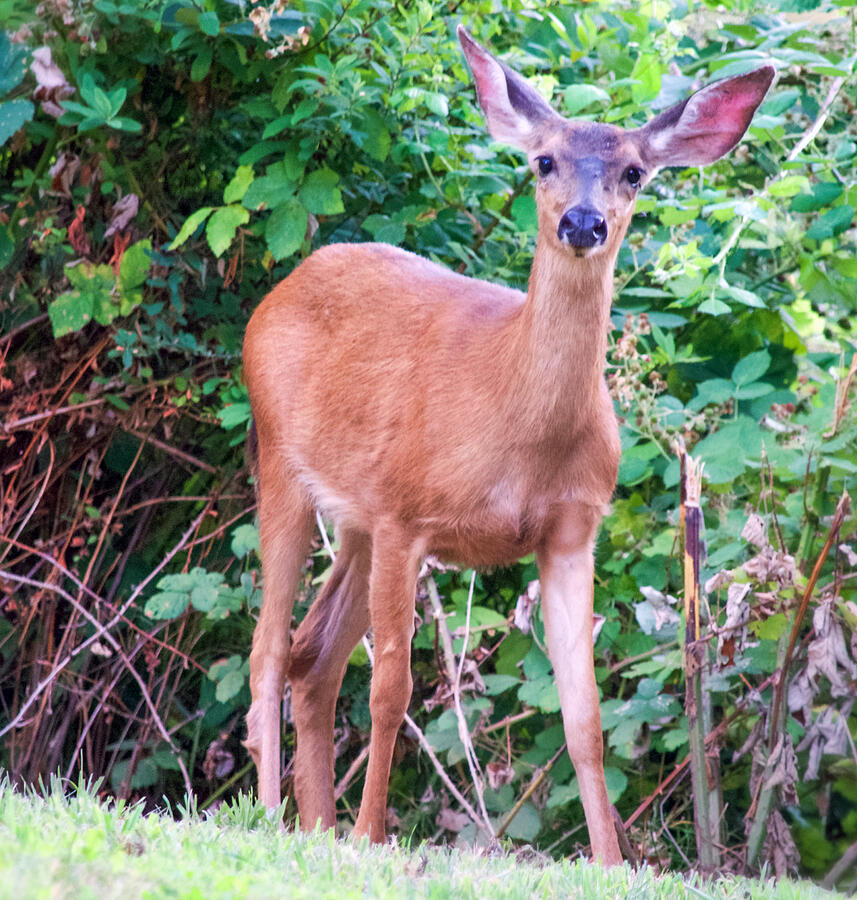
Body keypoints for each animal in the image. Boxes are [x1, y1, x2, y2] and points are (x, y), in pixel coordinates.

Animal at [242, 22, 776, 864]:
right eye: (543, 160)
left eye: (633, 172)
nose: (582, 223)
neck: (515, 428)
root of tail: (278, 292)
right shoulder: (405, 514)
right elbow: (392, 688)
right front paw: (370, 836)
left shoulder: (570, 530)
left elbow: (584, 713)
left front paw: (611, 863)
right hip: (282, 464)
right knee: (267, 650)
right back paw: (277, 817)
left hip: (355, 518)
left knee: (311, 654)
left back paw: (315, 827)